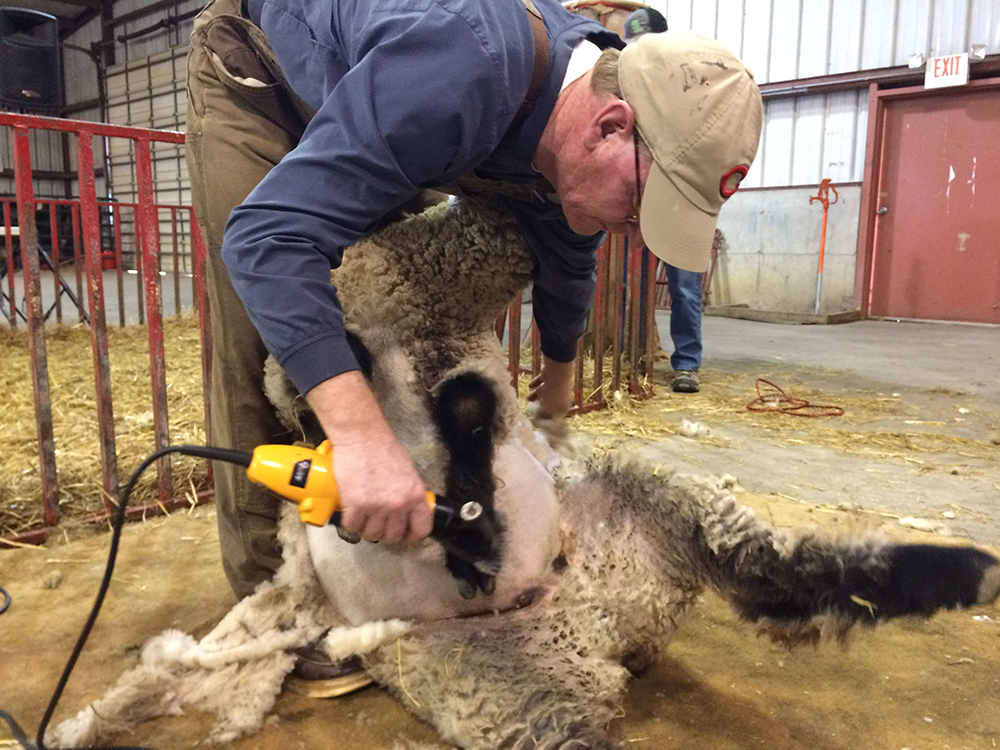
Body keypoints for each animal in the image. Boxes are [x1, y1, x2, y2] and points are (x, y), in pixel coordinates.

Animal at [47, 195, 1000, 750]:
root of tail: (591, 610)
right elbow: (310, 392)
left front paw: (461, 411)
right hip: (502, 672)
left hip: (658, 509)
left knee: (782, 572)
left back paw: (955, 571)